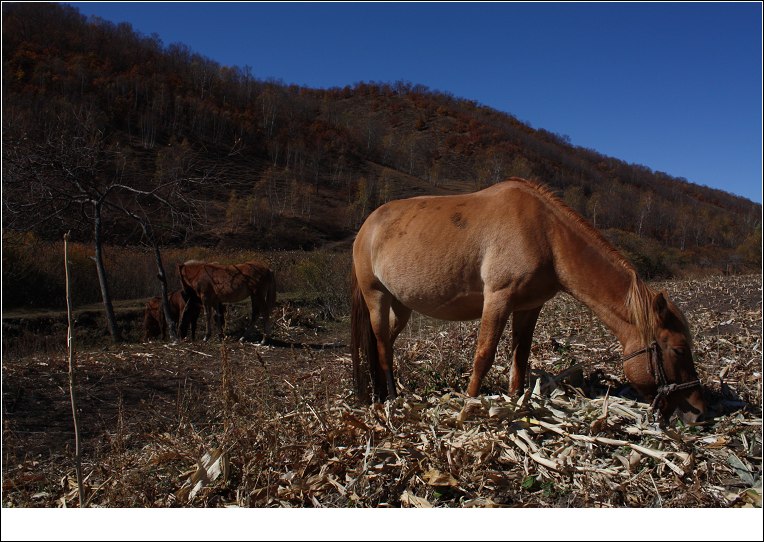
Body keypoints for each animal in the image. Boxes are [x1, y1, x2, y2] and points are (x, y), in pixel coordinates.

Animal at [350, 178, 708, 424]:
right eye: (678, 350)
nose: (700, 412)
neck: (546, 234)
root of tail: (367, 226)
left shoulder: (528, 307)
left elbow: (519, 357)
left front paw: (514, 401)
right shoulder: (498, 299)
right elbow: (484, 355)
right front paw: (468, 406)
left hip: (401, 305)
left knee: (385, 344)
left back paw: (380, 394)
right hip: (376, 296)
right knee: (382, 346)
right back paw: (392, 397)